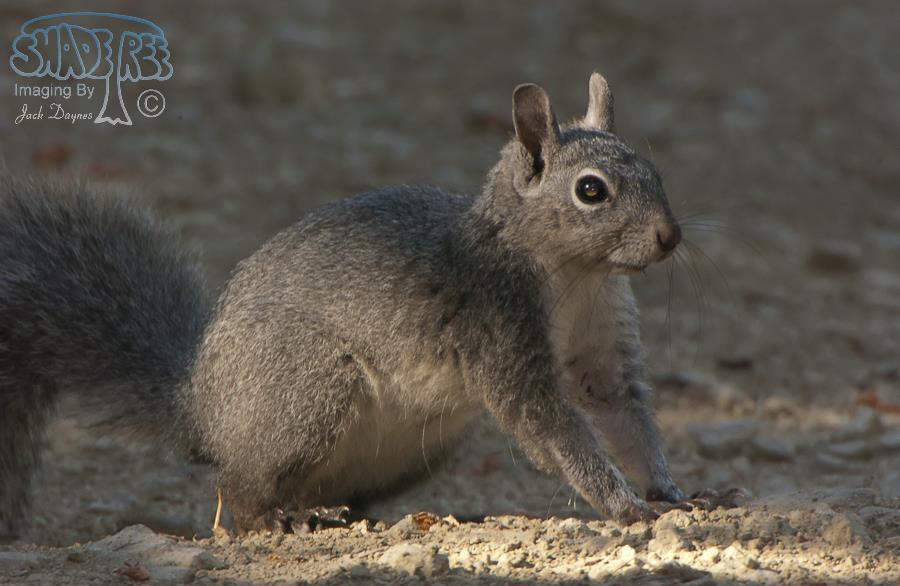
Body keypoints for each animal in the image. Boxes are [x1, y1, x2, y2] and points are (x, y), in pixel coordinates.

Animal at [1, 73, 724, 537]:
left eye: (654, 171)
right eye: (591, 191)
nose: (670, 236)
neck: (576, 276)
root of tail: (200, 408)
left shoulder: (601, 343)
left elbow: (622, 414)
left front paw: (674, 494)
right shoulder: (501, 329)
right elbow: (552, 426)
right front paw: (623, 507)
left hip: (417, 446)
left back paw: (353, 515)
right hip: (308, 389)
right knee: (240, 491)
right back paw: (282, 518)